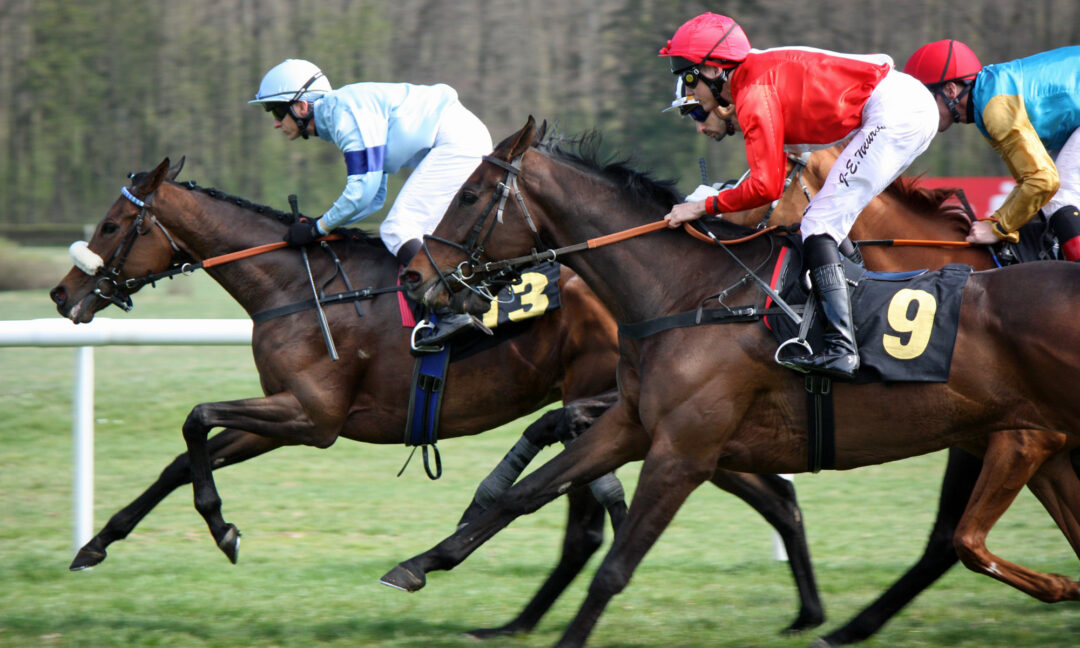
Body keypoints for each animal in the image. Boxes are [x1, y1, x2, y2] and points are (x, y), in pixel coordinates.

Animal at [397, 117, 1080, 648]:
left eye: (470, 194)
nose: (412, 276)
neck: (687, 291)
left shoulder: (683, 452)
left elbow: (614, 568)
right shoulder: (634, 425)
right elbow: (525, 494)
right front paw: (421, 562)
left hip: (1016, 439)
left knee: (960, 536)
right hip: (1033, 442)